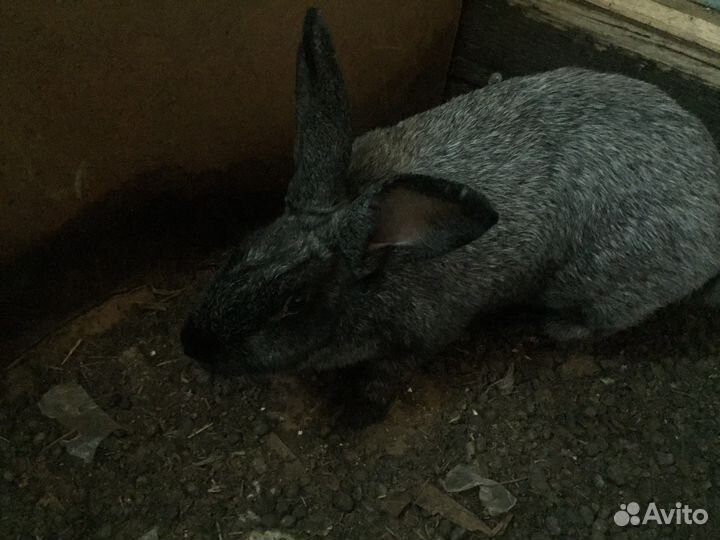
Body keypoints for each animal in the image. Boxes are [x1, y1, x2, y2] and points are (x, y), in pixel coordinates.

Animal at [181, 8, 720, 423]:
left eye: (293, 304)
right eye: (241, 249)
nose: (193, 344)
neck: (377, 264)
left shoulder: (423, 336)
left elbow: (390, 373)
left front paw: (357, 412)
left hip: (603, 286)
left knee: (601, 320)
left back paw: (553, 329)